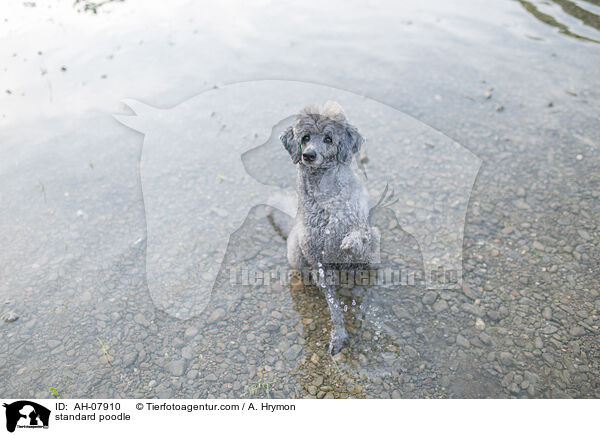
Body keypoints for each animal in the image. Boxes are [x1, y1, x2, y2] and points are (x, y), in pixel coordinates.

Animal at [270, 102, 382, 354]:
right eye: (305, 137)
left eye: (328, 139)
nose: (308, 155)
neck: (325, 195)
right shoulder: (317, 259)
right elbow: (334, 306)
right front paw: (338, 336)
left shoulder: (362, 227)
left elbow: (357, 236)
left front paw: (350, 243)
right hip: (296, 253)